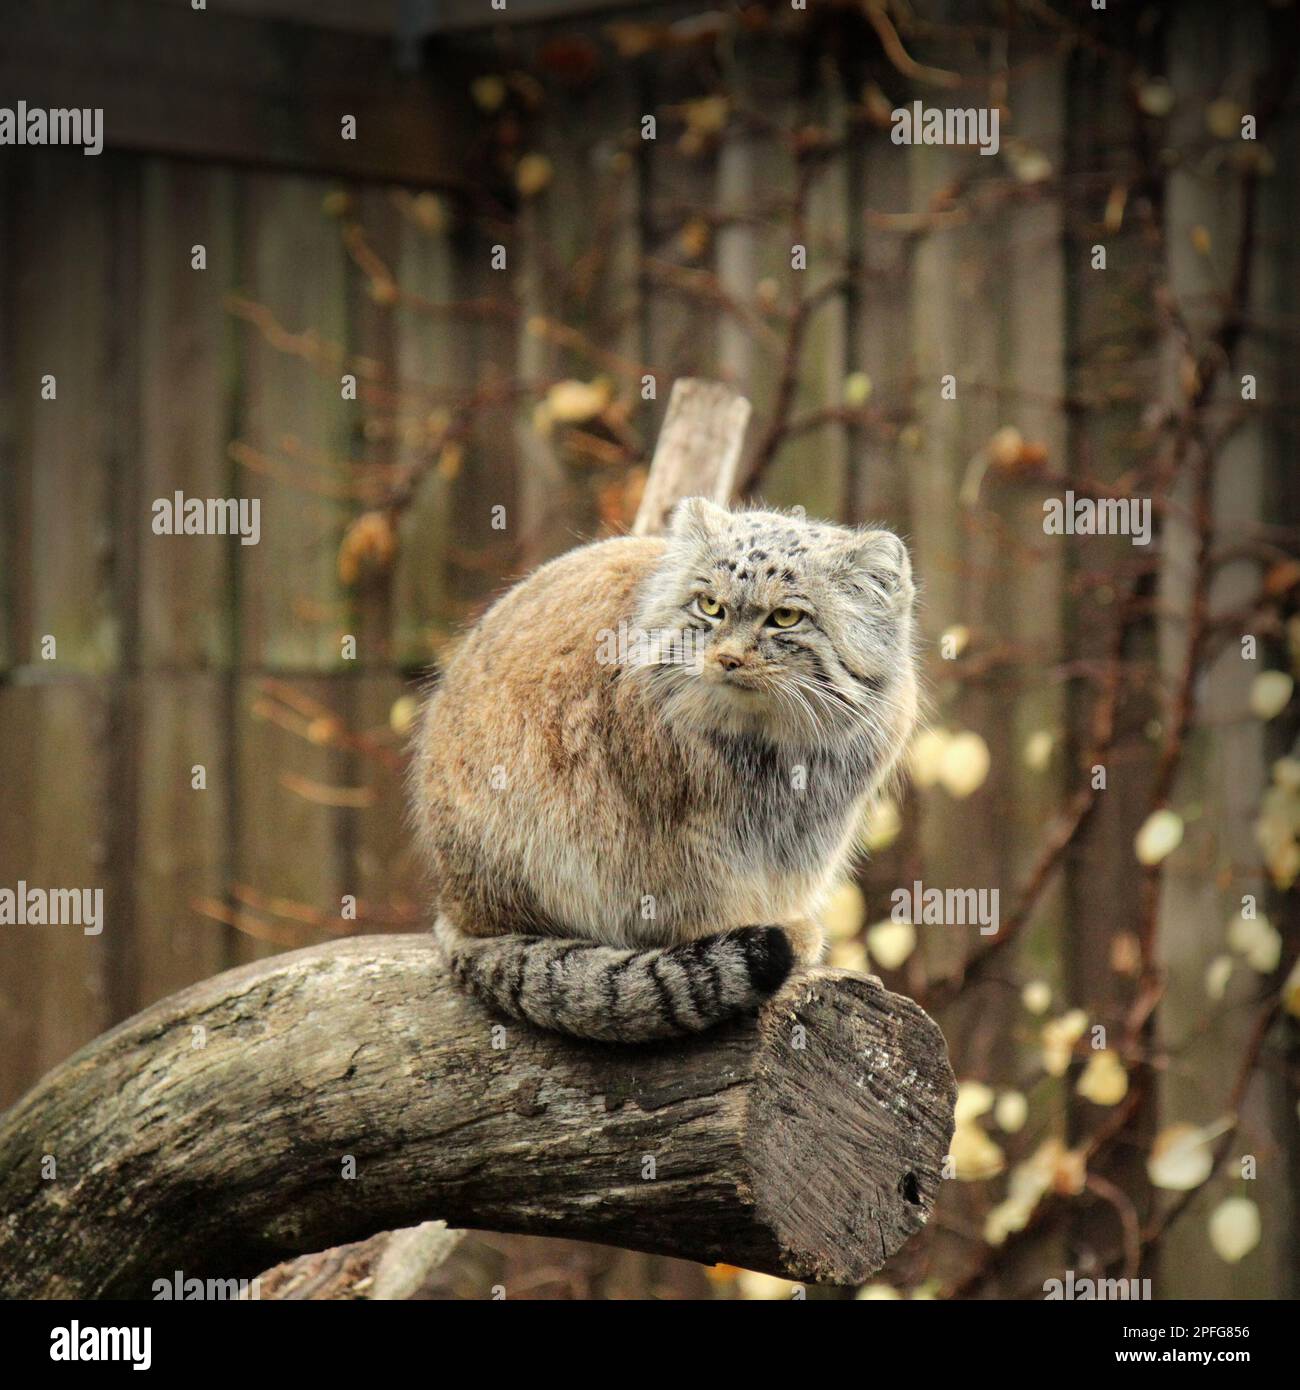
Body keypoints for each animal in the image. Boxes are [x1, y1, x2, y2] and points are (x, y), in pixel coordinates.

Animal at [411, 500, 917, 1045]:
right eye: (710, 606)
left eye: (785, 617)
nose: (727, 658)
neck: (770, 746)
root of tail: (454, 910)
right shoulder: (680, 837)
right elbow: (702, 898)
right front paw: (769, 930)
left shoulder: (807, 833)